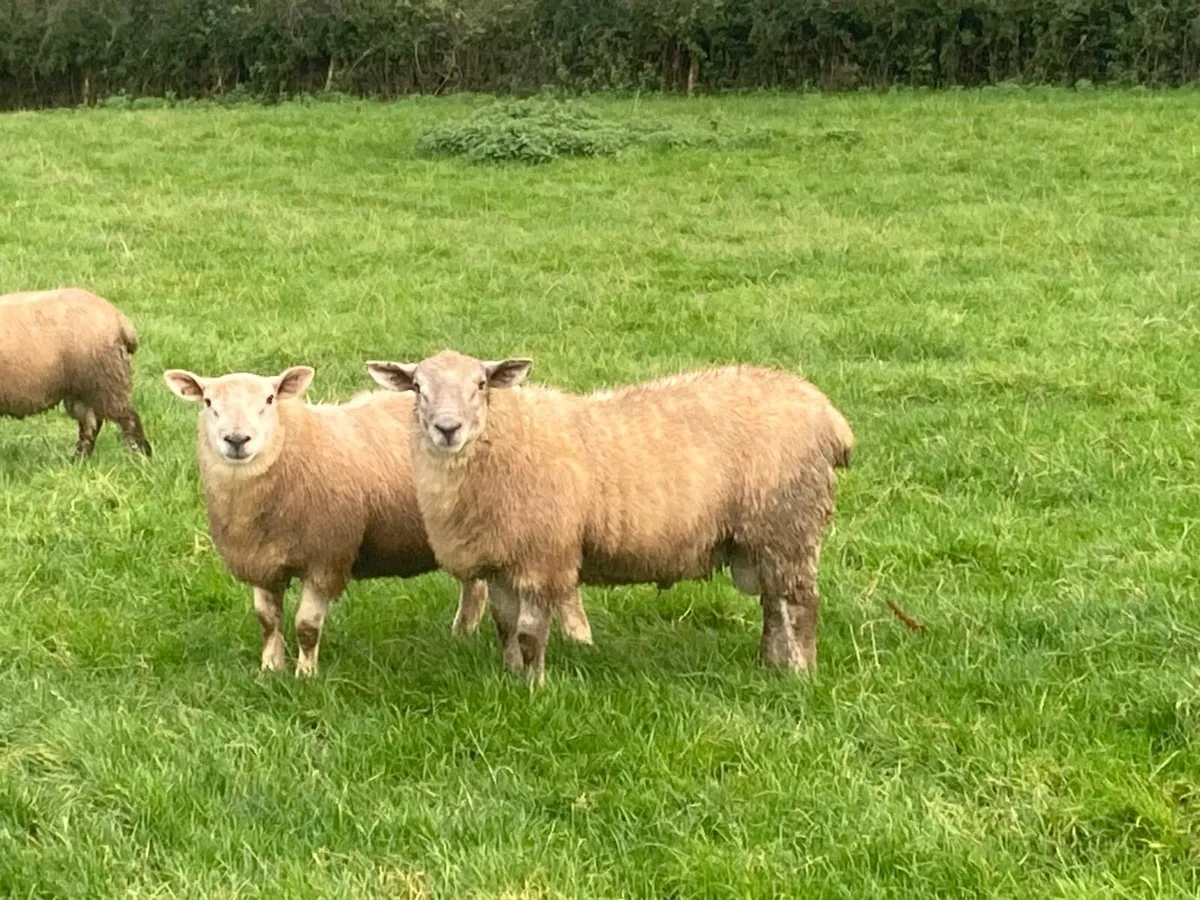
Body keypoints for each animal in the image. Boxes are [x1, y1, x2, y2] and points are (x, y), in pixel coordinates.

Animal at [0, 288, 152, 458]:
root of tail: (118, 318)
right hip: (82, 389)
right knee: (90, 424)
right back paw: (79, 459)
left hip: (106, 382)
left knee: (128, 419)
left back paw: (141, 456)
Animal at [162, 364, 496, 677]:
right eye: (208, 402)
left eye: (270, 399)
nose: (236, 439)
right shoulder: (260, 560)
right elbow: (267, 620)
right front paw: (270, 669)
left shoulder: (326, 560)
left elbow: (306, 626)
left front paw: (305, 675)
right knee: (475, 586)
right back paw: (461, 635)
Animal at [366, 350, 854, 684]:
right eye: (417, 387)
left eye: (482, 384)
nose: (447, 429)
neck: (501, 441)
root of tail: (830, 416)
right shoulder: (504, 559)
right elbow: (505, 627)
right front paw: (510, 676)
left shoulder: (545, 556)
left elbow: (529, 632)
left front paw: (534, 687)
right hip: (765, 535)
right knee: (774, 605)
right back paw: (770, 665)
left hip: (788, 521)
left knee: (801, 605)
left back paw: (800, 675)